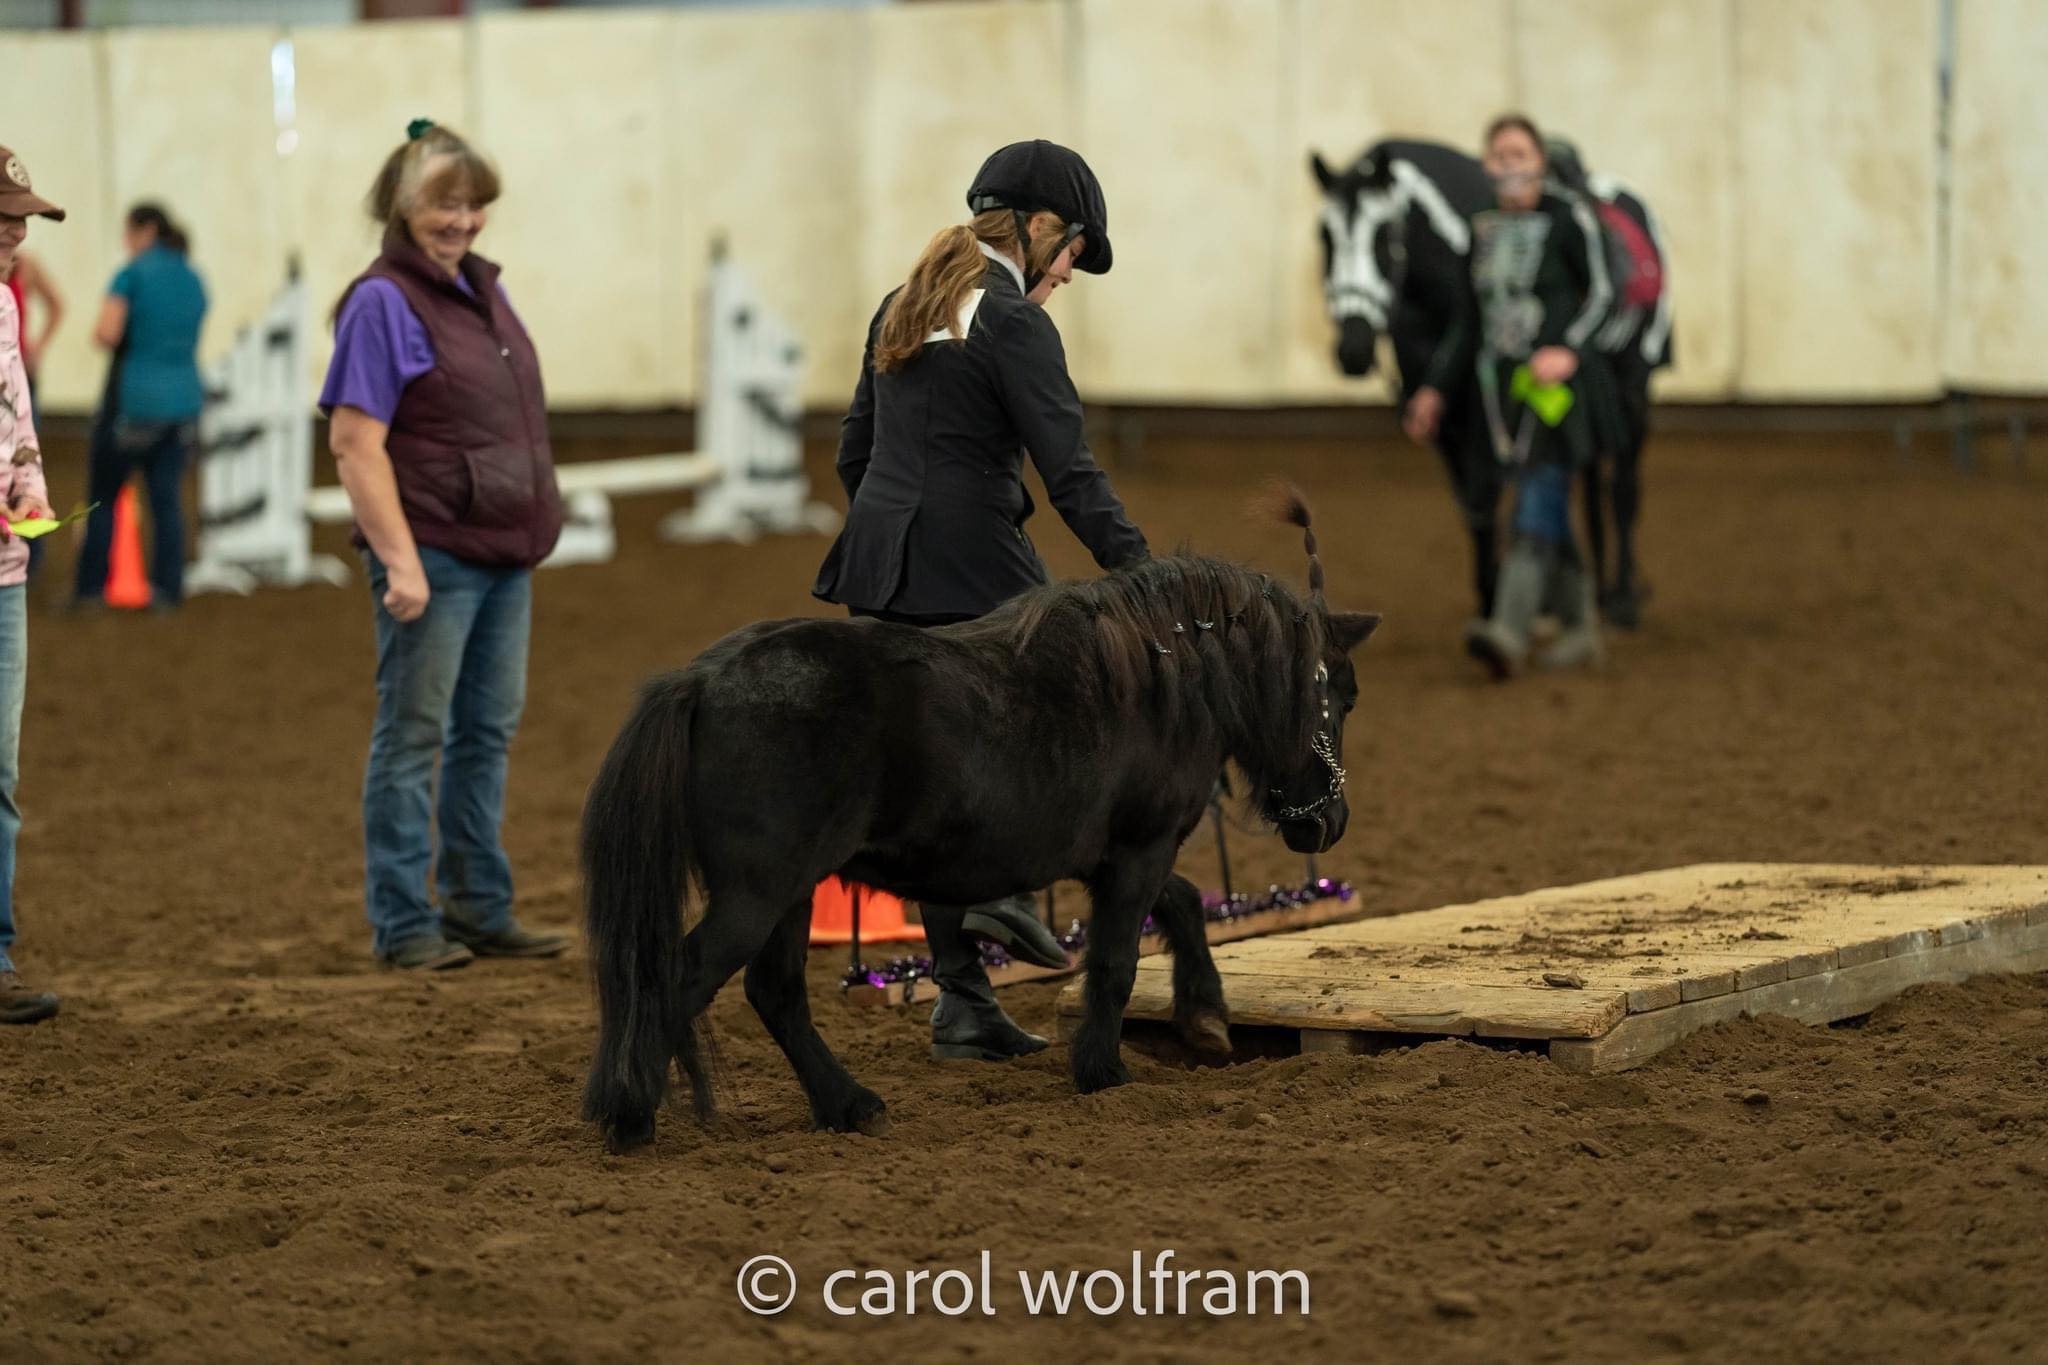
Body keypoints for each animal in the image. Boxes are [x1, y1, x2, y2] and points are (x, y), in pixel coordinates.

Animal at [580, 495, 1381, 1154]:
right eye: (1341, 694)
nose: (1328, 823)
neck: (1158, 673)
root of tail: (700, 680)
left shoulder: (1120, 856)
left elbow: (1182, 906)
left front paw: (1205, 1017)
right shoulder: (1139, 849)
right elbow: (1117, 961)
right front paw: (1103, 1069)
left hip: (789, 891)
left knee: (774, 991)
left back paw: (849, 1105)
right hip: (760, 891)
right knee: (682, 976)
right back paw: (631, 1116)